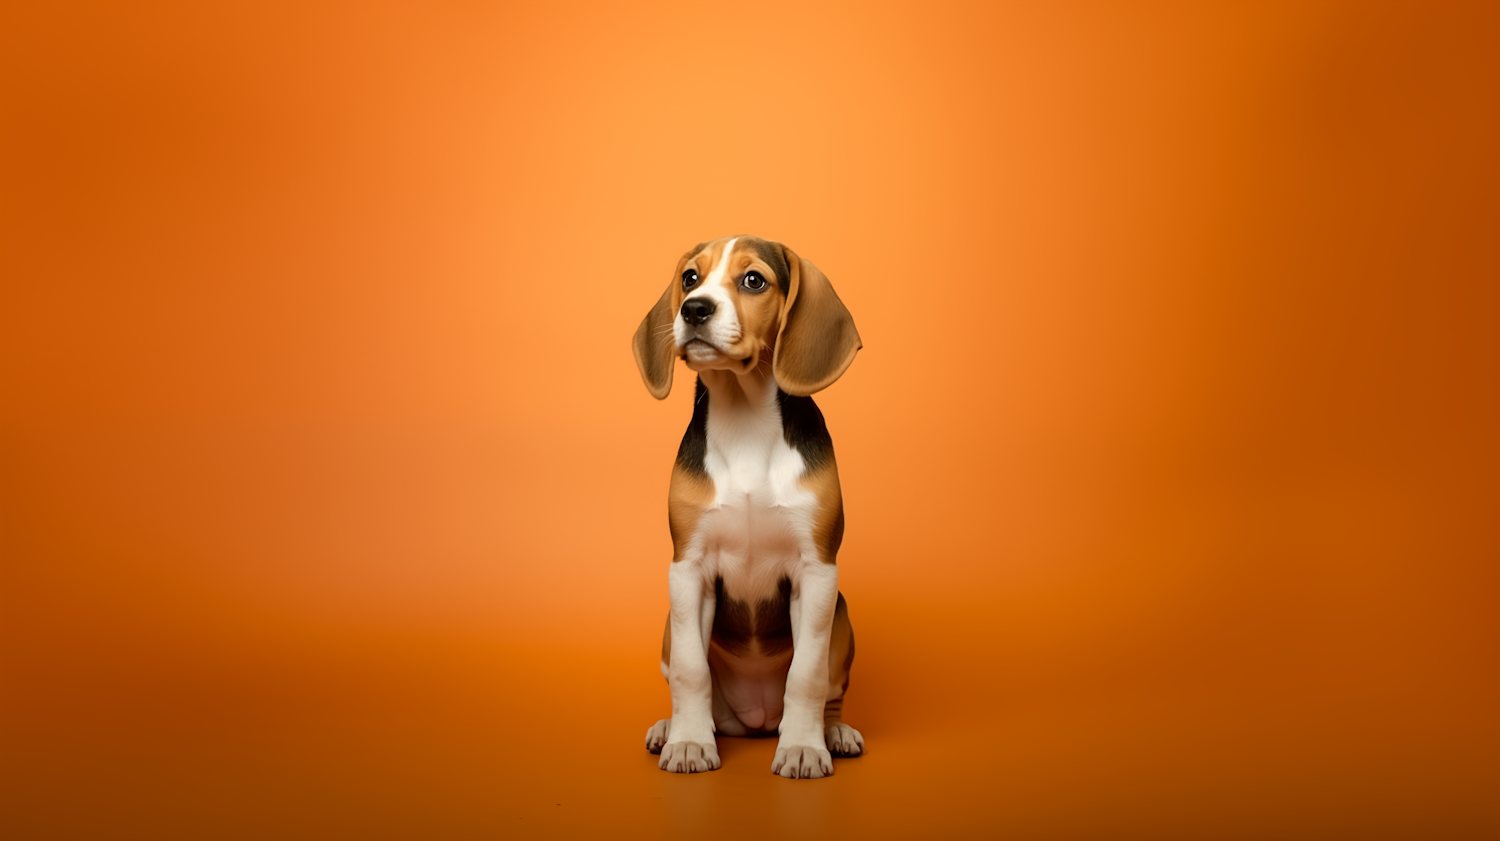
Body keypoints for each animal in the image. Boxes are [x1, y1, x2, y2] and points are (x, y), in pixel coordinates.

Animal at [633, 232, 870, 779]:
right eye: (690, 278)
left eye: (754, 280)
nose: (694, 309)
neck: (745, 420)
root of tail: (757, 718)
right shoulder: (688, 569)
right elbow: (691, 671)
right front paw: (690, 743)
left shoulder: (817, 572)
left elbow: (806, 673)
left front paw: (803, 747)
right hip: (669, 627)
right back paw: (671, 727)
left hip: (842, 618)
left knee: (827, 691)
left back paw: (832, 732)